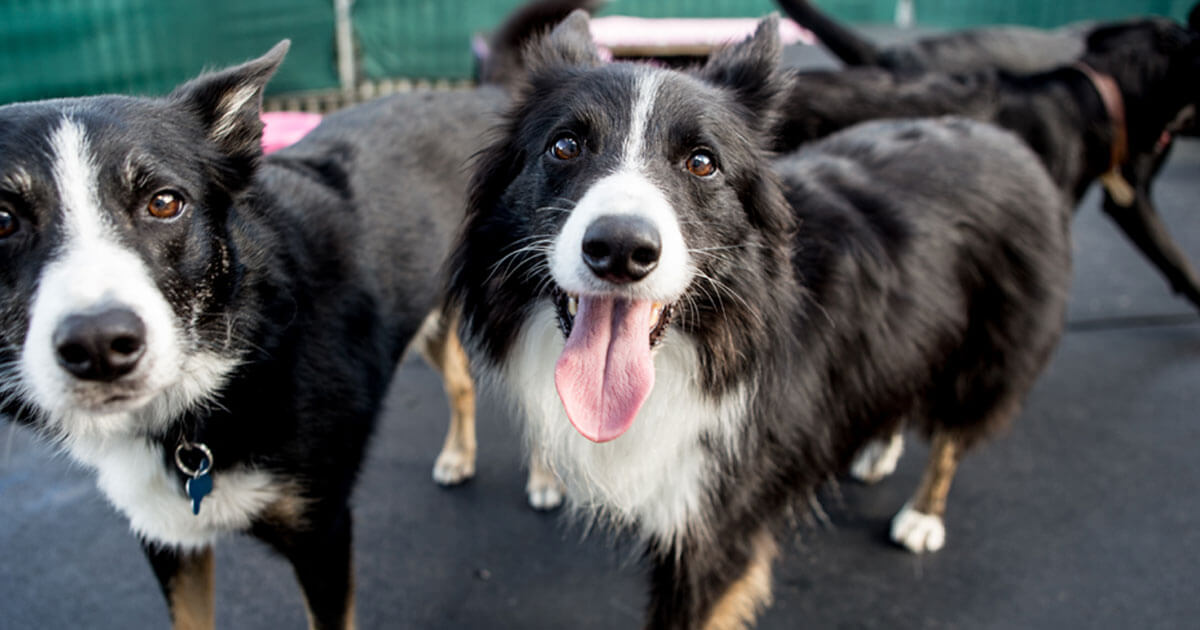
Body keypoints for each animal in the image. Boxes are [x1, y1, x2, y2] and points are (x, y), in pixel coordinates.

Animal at [446, 12, 1075, 624]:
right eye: (565, 146)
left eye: (702, 162)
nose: (620, 249)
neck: (710, 340)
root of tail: (997, 132)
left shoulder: (719, 521)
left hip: (992, 345)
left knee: (953, 432)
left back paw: (923, 514)